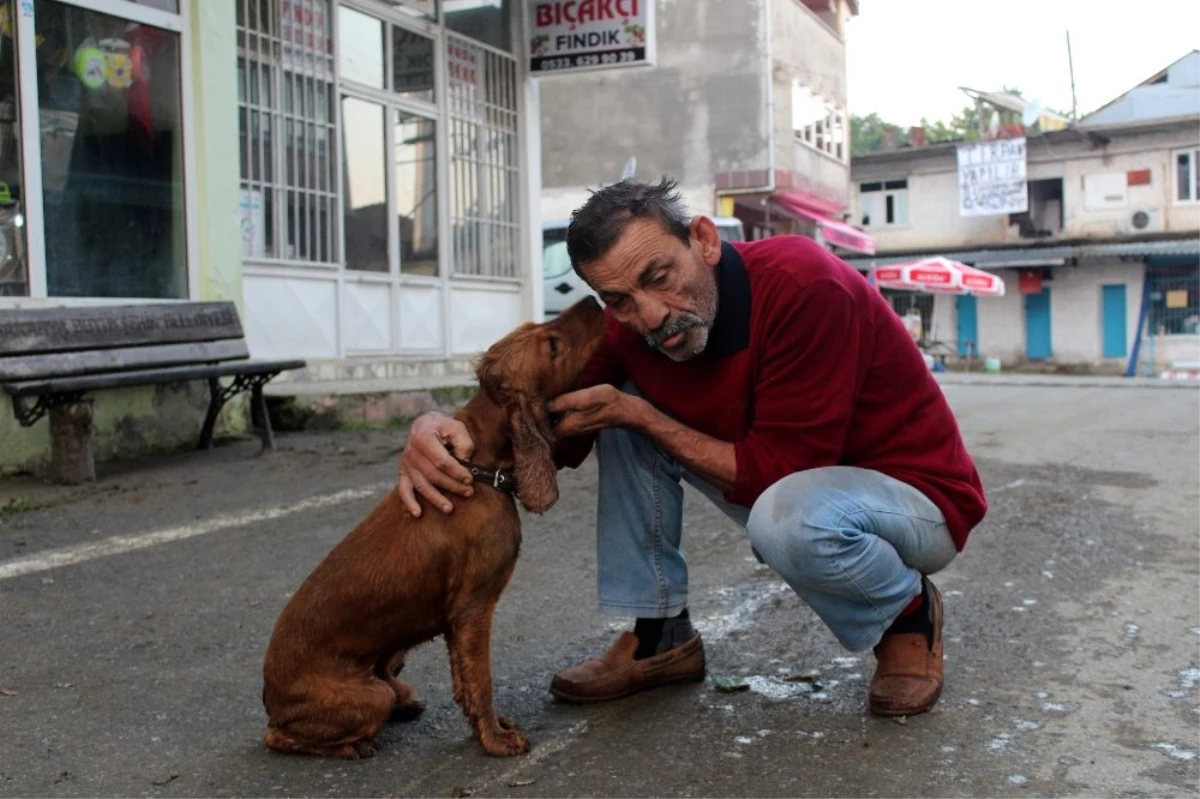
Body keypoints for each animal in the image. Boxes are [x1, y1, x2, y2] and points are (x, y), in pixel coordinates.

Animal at [259, 295, 604, 758]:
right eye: (552, 345)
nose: (593, 299)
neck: (482, 469)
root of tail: (269, 697)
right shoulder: (473, 608)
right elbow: (482, 681)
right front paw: (495, 739)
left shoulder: (458, 621)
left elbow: (464, 681)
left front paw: (486, 727)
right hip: (365, 698)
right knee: (279, 735)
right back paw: (351, 746)